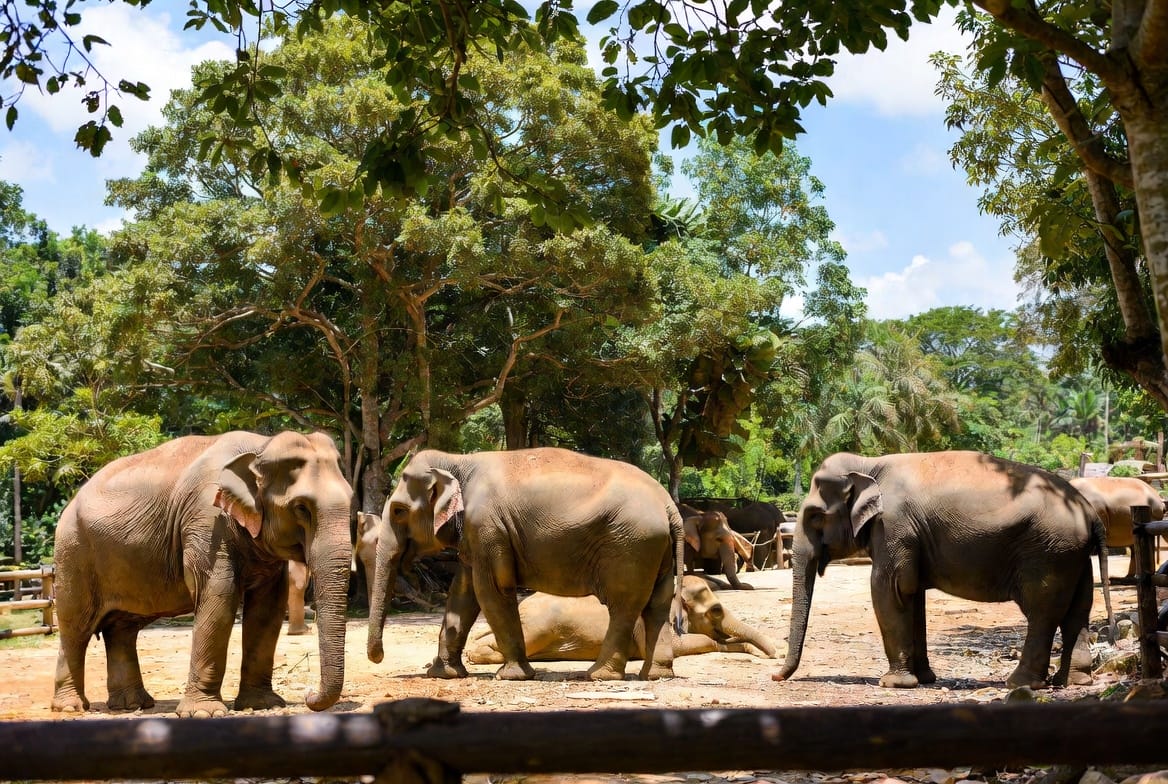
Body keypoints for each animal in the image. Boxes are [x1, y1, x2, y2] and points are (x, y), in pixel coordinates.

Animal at [50, 430, 353, 717]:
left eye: (352, 500)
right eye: (301, 508)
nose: (309, 694)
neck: (261, 446)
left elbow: (267, 610)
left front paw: (262, 705)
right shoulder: (207, 521)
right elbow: (219, 598)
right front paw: (203, 712)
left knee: (121, 629)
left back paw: (132, 705)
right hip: (72, 553)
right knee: (75, 626)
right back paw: (70, 708)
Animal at [366, 447, 685, 682]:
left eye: (398, 511)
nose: (378, 657)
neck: (457, 461)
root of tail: (670, 506)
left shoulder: (487, 526)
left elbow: (491, 590)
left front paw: (510, 676)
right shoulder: (474, 534)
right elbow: (462, 594)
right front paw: (444, 674)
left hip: (631, 545)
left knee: (624, 605)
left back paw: (598, 675)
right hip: (656, 549)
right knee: (657, 604)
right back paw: (655, 675)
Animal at [774, 451, 1113, 690]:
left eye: (815, 516)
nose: (776, 675)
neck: (868, 464)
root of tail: (1088, 511)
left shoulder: (893, 525)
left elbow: (890, 589)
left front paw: (893, 684)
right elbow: (913, 596)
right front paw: (924, 679)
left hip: (1048, 552)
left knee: (1043, 613)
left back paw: (1020, 684)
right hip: (1073, 555)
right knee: (1077, 611)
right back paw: (1072, 681)